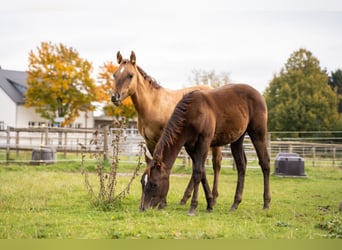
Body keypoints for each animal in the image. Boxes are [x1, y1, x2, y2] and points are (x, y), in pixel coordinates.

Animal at [111, 51, 223, 206]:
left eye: (130, 75)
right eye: (114, 74)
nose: (114, 97)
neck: (153, 104)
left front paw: (162, 201)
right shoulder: (150, 141)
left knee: (216, 163)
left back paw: (214, 196)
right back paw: (185, 198)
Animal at [140, 84, 272, 215]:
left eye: (154, 184)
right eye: (142, 182)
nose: (142, 208)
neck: (192, 113)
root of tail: (258, 94)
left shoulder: (204, 142)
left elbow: (198, 172)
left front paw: (193, 207)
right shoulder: (190, 147)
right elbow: (202, 171)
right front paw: (210, 203)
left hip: (258, 133)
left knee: (264, 163)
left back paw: (266, 203)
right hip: (237, 138)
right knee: (241, 165)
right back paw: (235, 204)